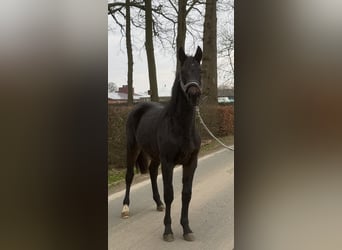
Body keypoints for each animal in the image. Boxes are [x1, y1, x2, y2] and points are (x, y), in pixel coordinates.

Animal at [122, 46, 203, 241]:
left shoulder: (191, 162)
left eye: (200, 71)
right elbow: (170, 194)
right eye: (182, 72)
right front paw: (168, 231)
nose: (194, 94)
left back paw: (158, 203)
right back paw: (125, 208)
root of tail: (138, 107)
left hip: (154, 153)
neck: (180, 126)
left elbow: (186, 194)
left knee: (152, 171)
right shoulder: (168, 163)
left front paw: (186, 229)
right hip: (132, 147)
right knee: (129, 175)